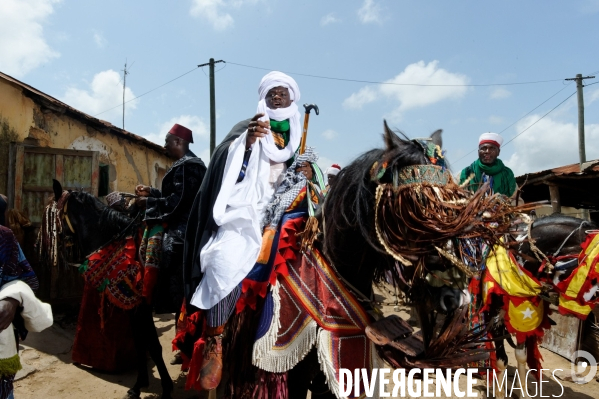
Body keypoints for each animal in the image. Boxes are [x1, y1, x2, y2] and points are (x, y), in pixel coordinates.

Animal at [51, 181, 173, 399]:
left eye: (55, 211)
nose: (61, 242)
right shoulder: (135, 308)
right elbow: (141, 343)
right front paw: (140, 384)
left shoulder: (140, 306)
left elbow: (152, 345)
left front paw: (162, 387)